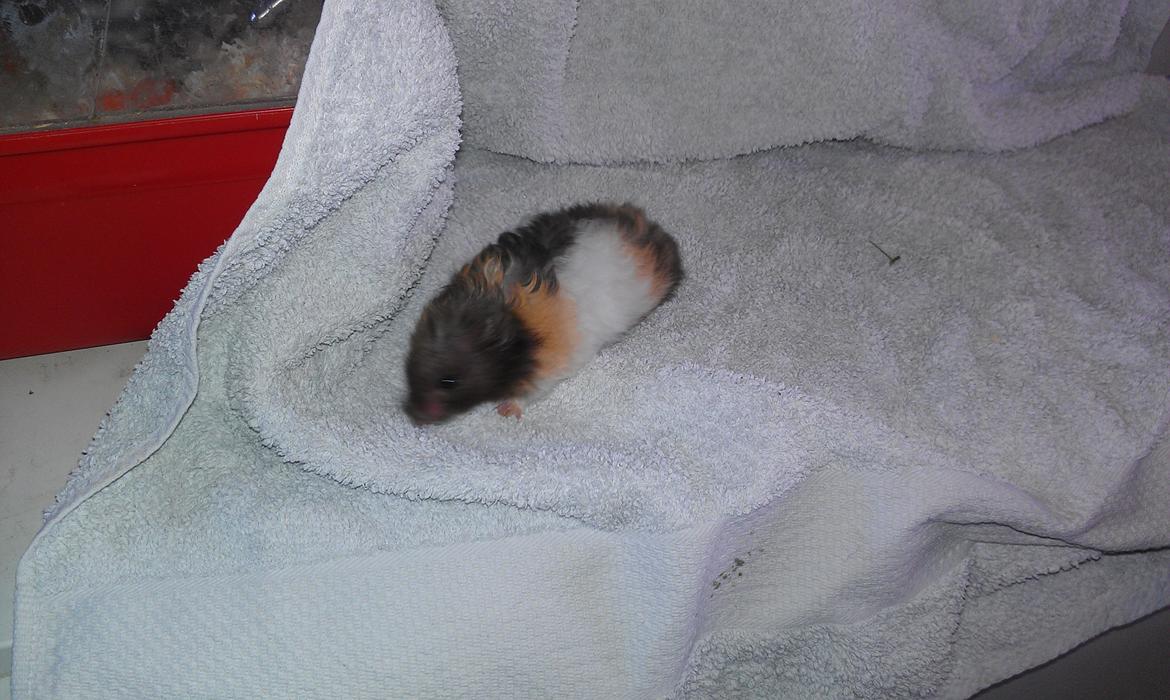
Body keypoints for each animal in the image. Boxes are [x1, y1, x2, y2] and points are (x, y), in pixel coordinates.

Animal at [404, 203, 683, 424]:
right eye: (409, 365)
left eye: (449, 382)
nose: (416, 417)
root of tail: (655, 231)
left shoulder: (549, 365)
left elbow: (529, 393)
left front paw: (506, 411)